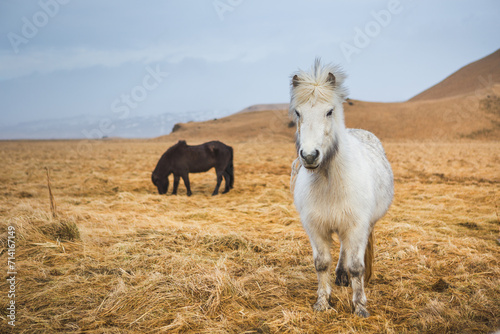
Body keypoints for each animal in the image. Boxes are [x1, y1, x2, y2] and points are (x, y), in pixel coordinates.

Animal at [290, 58, 394, 318]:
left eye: (329, 111)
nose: (309, 156)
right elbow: (321, 264)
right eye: (298, 112)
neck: (330, 180)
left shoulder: (356, 226)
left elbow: (356, 267)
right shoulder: (316, 228)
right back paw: (339, 276)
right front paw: (322, 302)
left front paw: (360, 307)